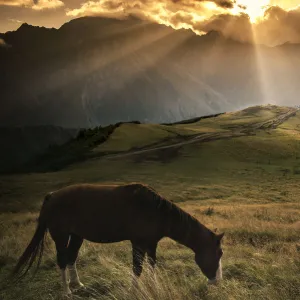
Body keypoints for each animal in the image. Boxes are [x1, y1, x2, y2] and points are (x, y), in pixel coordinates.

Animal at [13, 183, 225, 298]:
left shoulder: (151, 244)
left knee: (72, 257)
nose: (217, 281)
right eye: (219, 253)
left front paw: (154, 286)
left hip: (77, 236)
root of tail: (51, 196)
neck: (155, 211)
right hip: (61, 236)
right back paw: (66, 291)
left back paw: (77, 284)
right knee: (63, 260)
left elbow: (152, 266)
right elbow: (137, 268)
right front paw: (134, 290)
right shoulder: (138, 243)